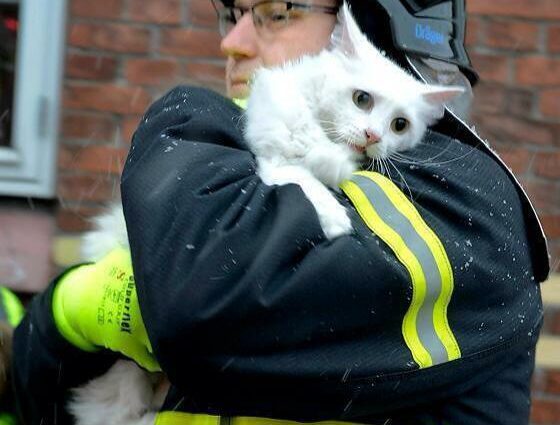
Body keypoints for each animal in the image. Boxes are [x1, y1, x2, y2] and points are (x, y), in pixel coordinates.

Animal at [70, 4, 462, 424]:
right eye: (362, 99)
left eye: (400, 125)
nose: (374, 137)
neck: (325, 134)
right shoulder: (272, 161)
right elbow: (305, 181)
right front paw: (334, 220)